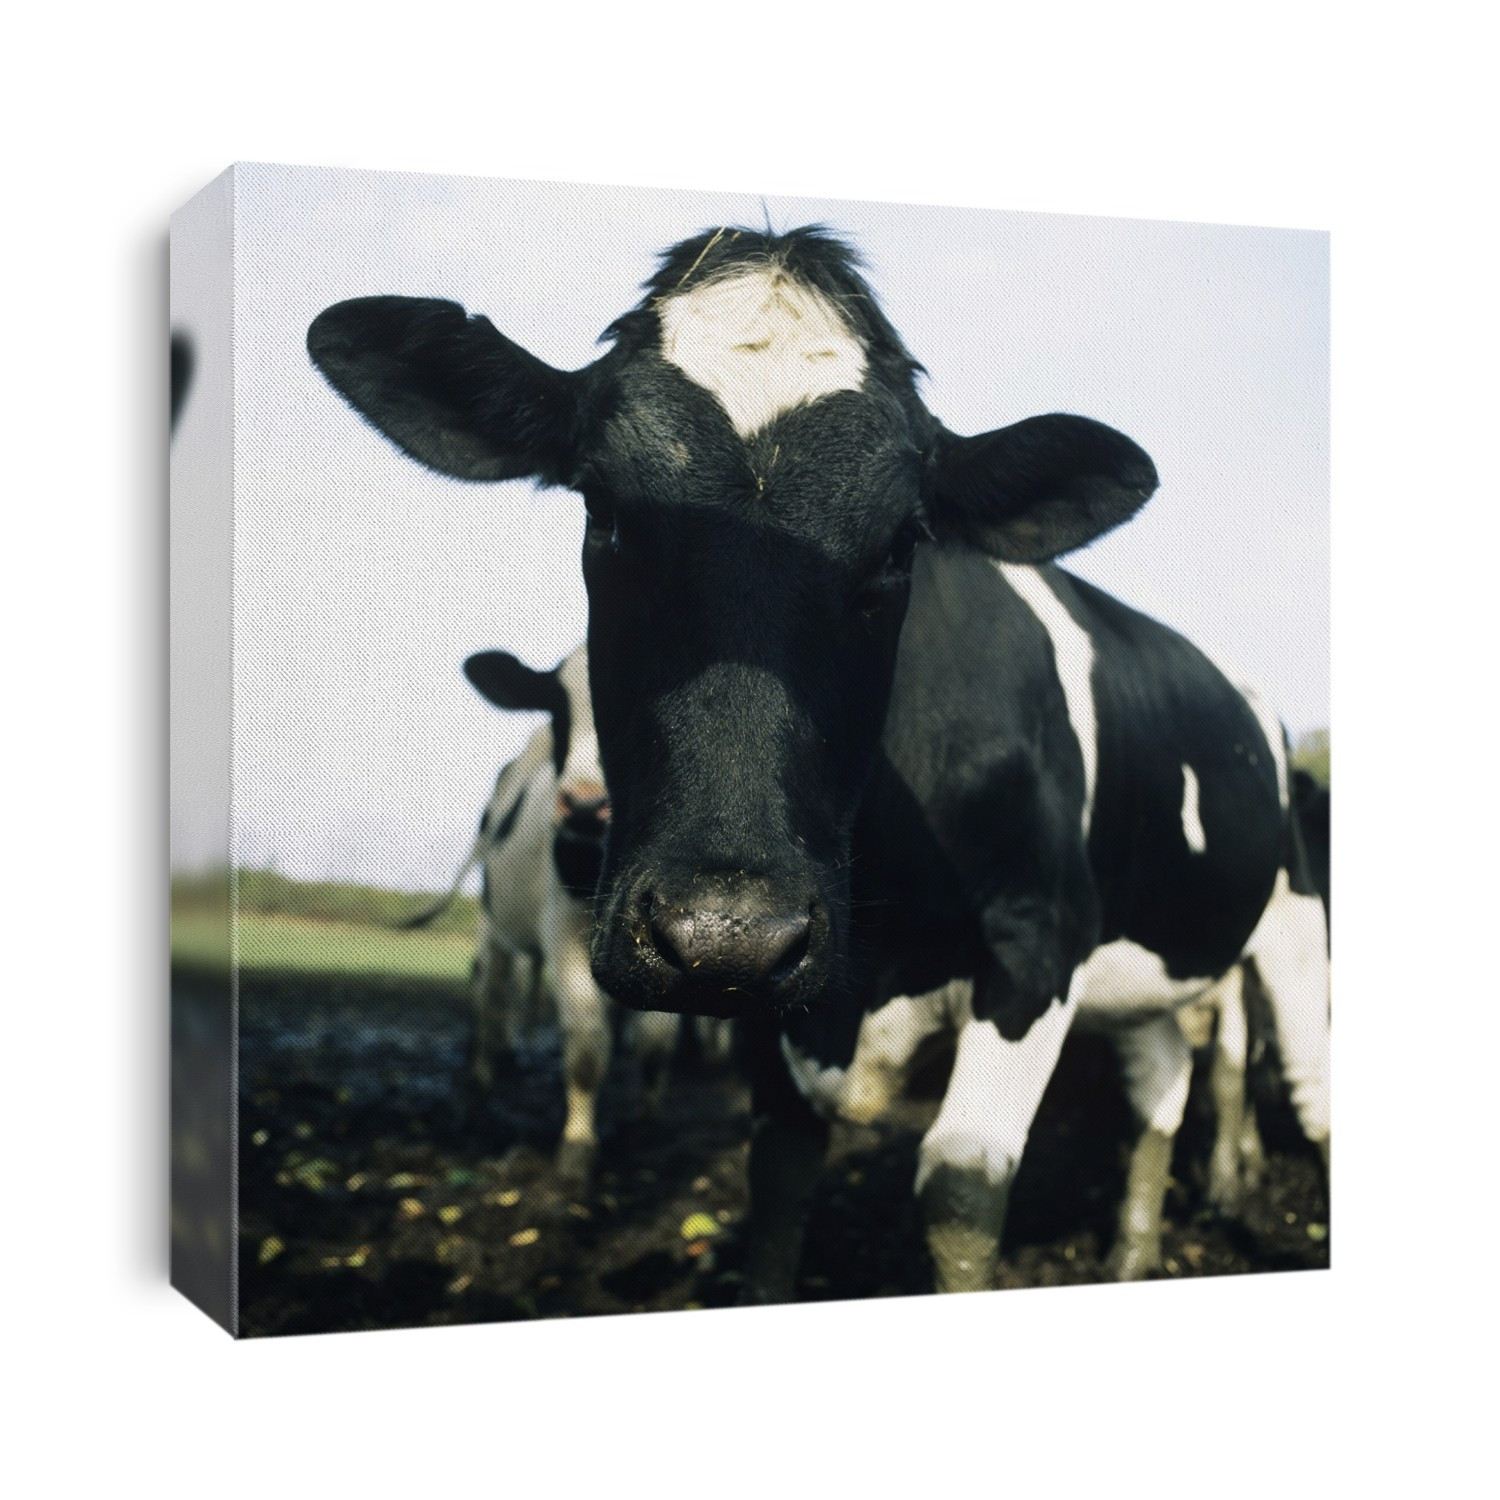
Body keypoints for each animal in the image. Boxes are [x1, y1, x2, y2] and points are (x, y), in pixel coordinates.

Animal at [308, 225, 1329, 1299]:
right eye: (603, 508)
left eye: (903, 542)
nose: (726, 931)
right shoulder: (771, 1008)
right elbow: (780, 1181)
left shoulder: (1038, 941)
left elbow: (960, 1194)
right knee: (1163, 1078)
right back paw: (1133, 1254)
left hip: (1292, 933)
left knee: (1309, 1097)